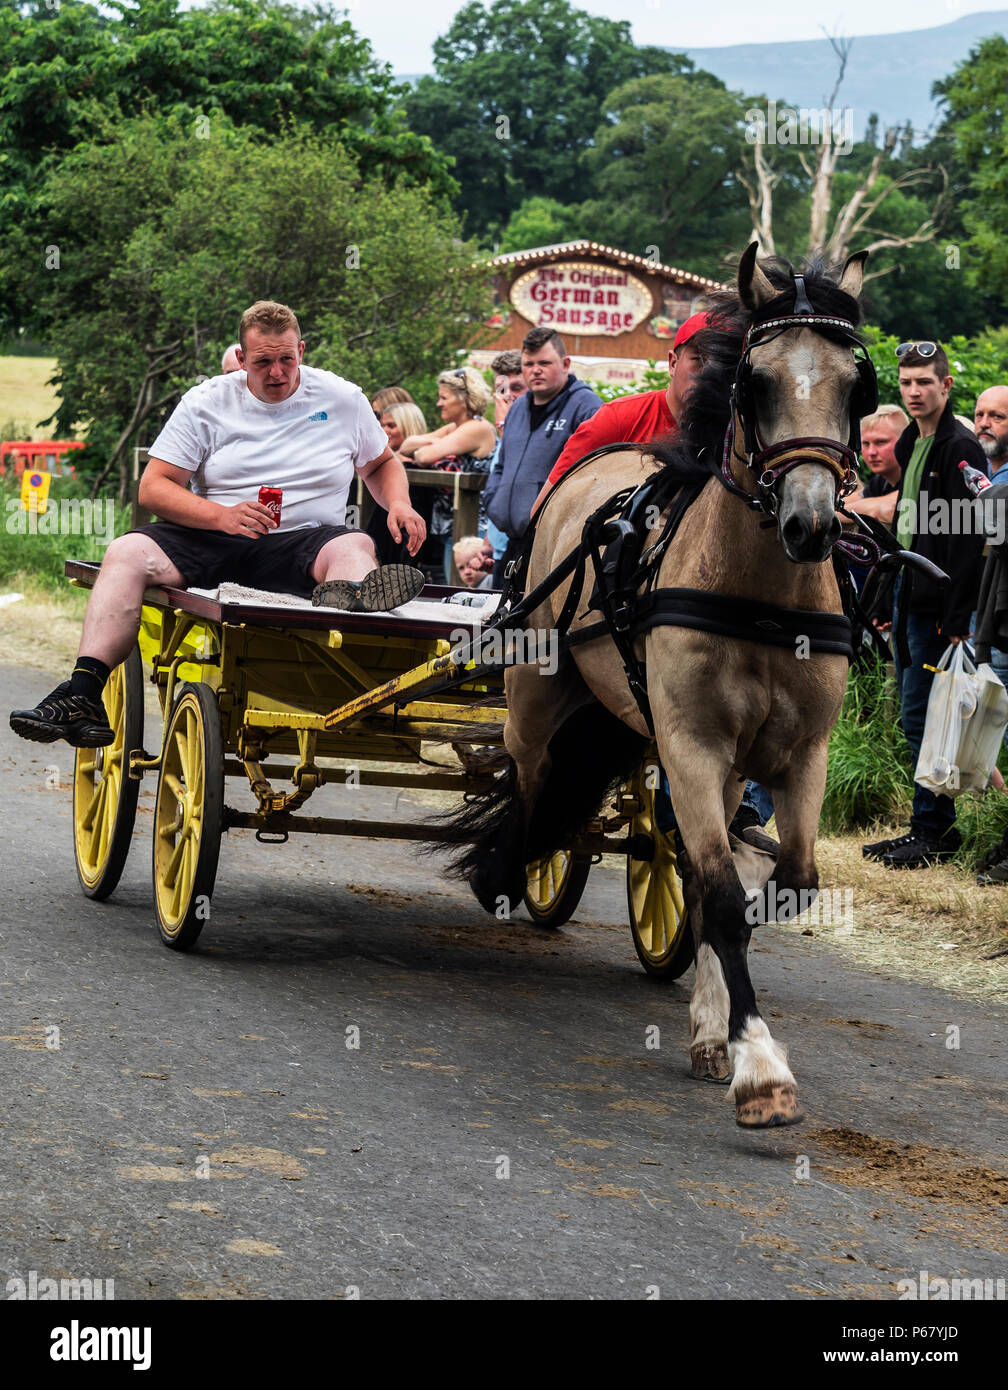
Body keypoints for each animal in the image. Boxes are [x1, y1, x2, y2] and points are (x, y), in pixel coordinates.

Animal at [433, 245, 875, 1128]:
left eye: (855, 385)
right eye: (756, 381)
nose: (810, 523)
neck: (759, 594)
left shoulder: (798, 752)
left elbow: (771, 886)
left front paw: (720, 1030)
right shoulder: (691, 741)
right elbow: (724, 896)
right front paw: (761, 1069)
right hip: (539, 693)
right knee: (531, 779)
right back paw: (510, 866)